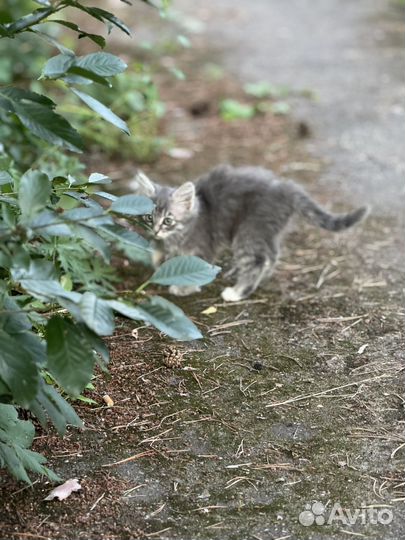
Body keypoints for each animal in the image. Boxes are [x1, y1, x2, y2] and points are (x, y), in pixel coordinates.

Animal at [132, 165, 366, 302]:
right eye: (149, 217)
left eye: (168, 220)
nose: (155, 230)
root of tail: (285, 187)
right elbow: (161, 257)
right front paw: (161, 266)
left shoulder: (203, 247)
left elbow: (195, 267)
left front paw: (184, 287)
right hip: (265, 232)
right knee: (272, 254)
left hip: (248, 231)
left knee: (256, 261)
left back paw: (238, 292)